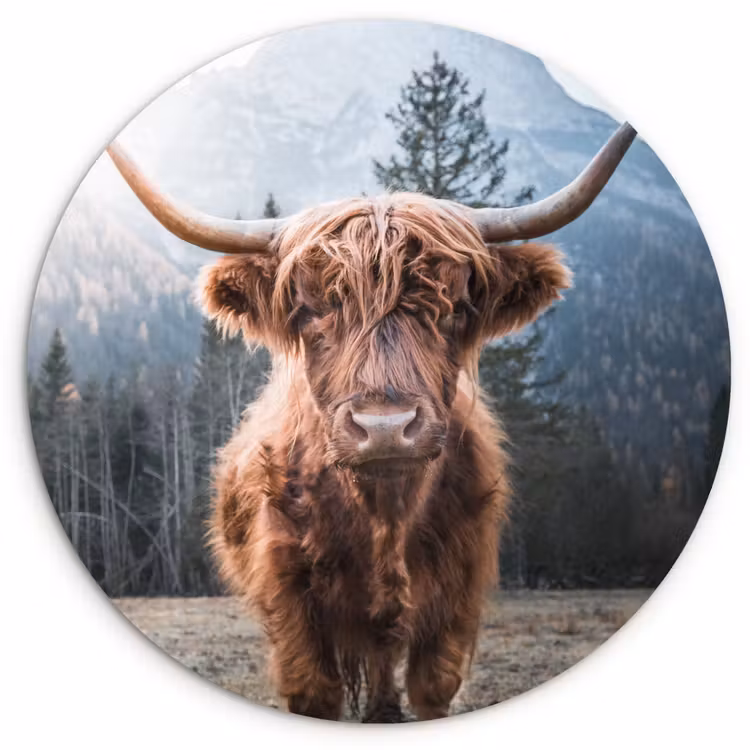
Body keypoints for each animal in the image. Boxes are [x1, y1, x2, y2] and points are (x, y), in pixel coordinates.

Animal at [107, 121, 636, 721]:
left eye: (455, 306)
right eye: (309, 308)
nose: (385, 426)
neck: (385, 517)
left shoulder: (456, 598)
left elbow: (431, 687)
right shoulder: (292, 602)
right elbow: (315, 692)